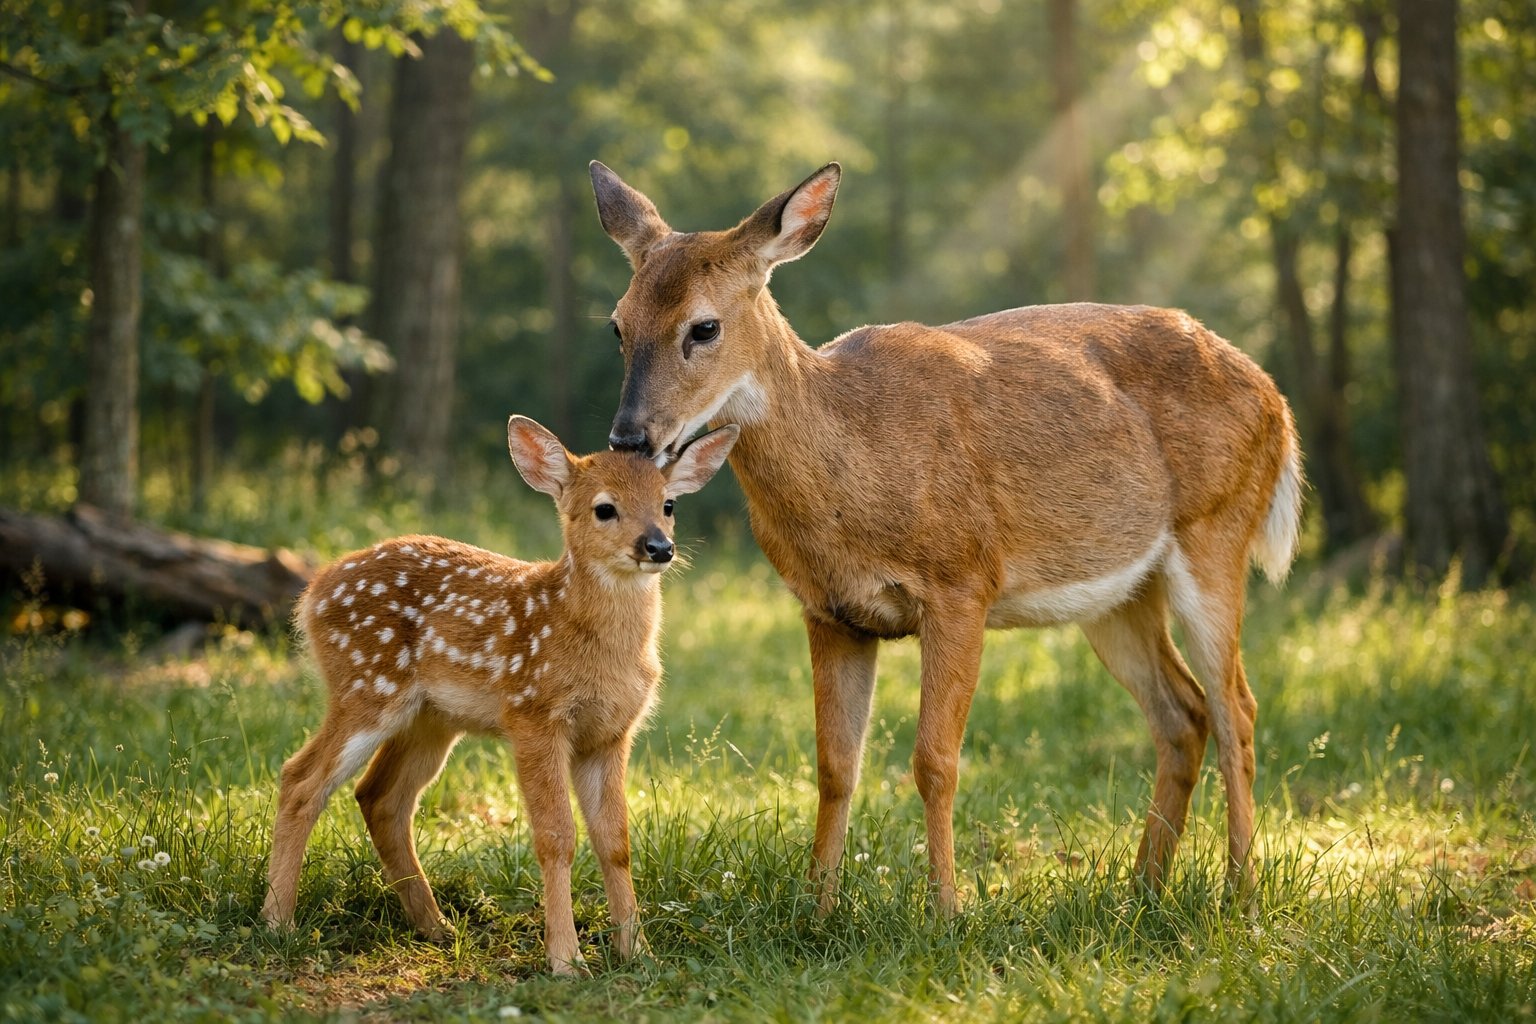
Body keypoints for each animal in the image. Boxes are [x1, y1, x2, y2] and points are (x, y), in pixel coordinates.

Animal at [260, 415, 738, 974]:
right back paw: (278, 922)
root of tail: (312, 593)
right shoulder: (533, 714)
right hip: (365, 686)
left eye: (669, 504)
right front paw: (566, 959)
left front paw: (637, 952)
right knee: (301, 779)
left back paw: (436, 926)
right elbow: (556, 837)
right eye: (605, 508)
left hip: (431, 719)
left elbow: (615, 841)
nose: (658, 547)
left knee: (380, 796)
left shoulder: (610, 733)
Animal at [588, 160, 1303, 917]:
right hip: (1118, 592)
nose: (629, 437)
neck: (855, 468)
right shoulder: (828, 609)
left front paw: (946, 910)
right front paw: (817, 908)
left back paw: (1240, 894)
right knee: (1183, 713)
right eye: (618, 325)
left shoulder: (963, 581)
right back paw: (1142, 890)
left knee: (1236, 709)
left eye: (704, 327)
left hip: (1217, 529)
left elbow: (934, 760)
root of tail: (1276, 401)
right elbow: (835, 764)